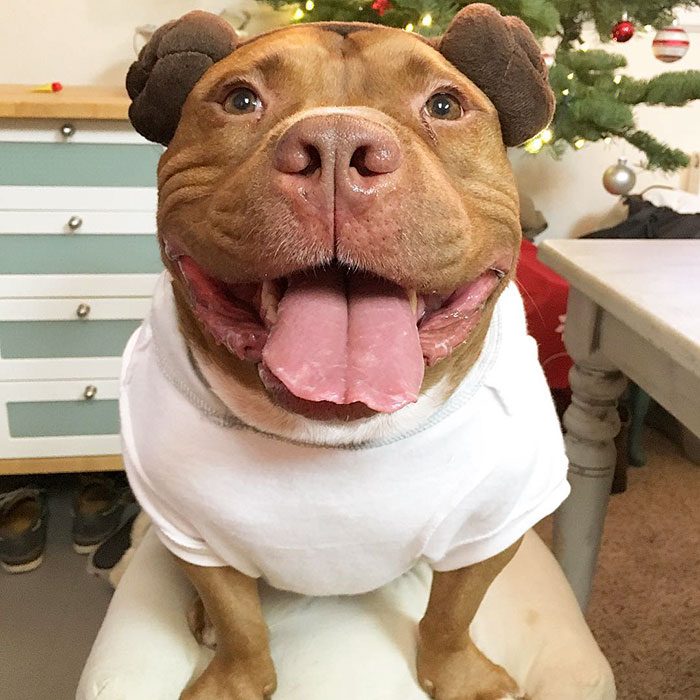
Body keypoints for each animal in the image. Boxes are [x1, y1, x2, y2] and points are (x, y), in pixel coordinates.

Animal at [121, 6, 556, 700]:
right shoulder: (190, 531)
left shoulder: (496, 524)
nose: (336, 146)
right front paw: (234, 677)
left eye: (444, 104)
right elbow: (237, 616)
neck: (334, 435)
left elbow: (453, 611)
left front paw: (461, 675)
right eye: (240, 99)